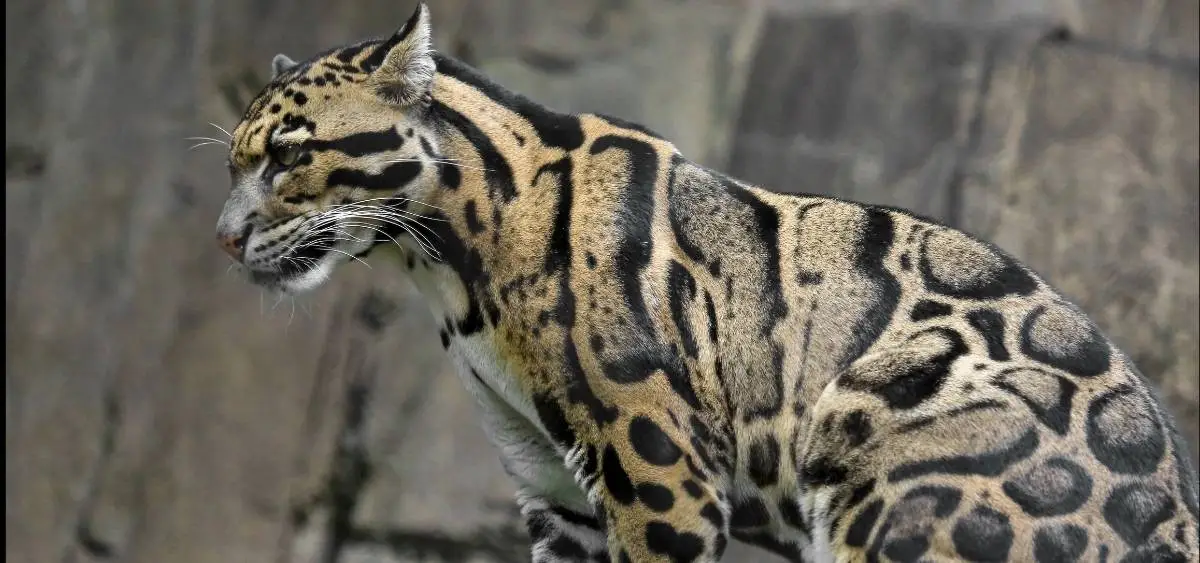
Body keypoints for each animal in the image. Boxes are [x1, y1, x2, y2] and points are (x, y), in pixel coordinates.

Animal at [212, 4, 1200, 562]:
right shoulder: (555, 492)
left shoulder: (656, 468)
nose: (223, 238)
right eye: (235, 162)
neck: (444, 263)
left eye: (289, 156)